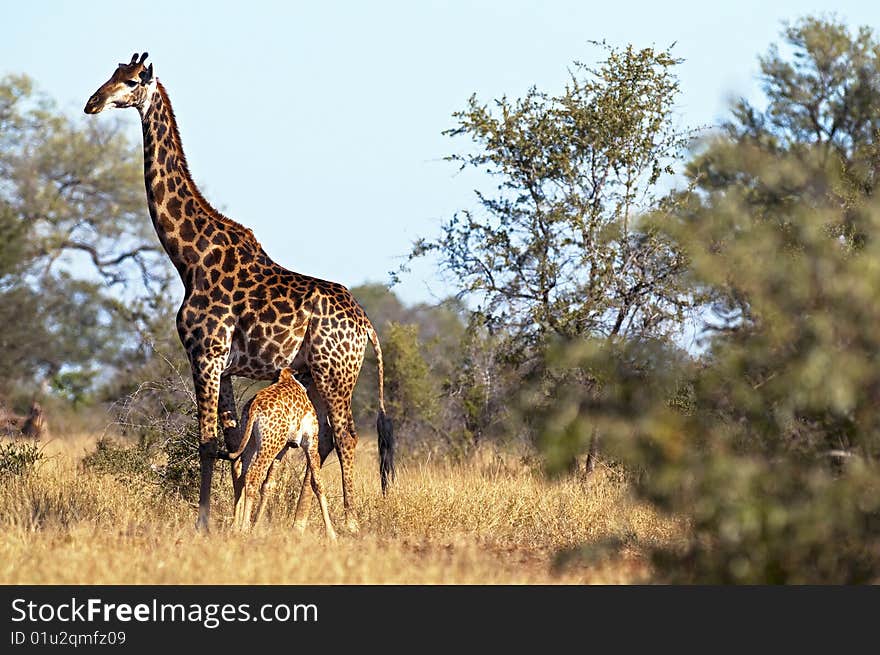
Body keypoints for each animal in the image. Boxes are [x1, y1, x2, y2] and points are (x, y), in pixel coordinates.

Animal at [223, 366, 336, 540]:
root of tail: (254, 407)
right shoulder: (310, 440)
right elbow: (318, 483)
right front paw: (332, 534)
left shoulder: (283, 448)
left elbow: (268, 485)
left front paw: (257, 527)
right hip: (269, 443)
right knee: (252, 477)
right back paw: (244, 528)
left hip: (255, 441)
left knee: (241, 475)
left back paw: (235, 527)